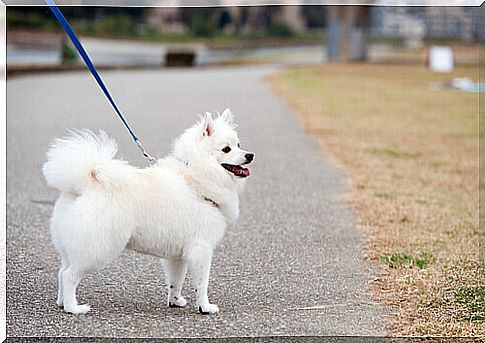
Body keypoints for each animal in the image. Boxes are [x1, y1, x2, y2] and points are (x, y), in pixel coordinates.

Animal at [42, 110, 253, 318]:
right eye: (226, 149)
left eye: (239, 144)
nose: (250, 155)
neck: (195, 178)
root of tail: (84, 184)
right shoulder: (201, 249)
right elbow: (202, 284)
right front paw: (205, 307)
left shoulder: (177, 255)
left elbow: (176, 281)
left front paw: (175, 301)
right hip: (97, 249)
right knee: (69, 276)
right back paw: (73, 307)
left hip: (72, 246)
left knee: (61, 272)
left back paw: (61, 302)